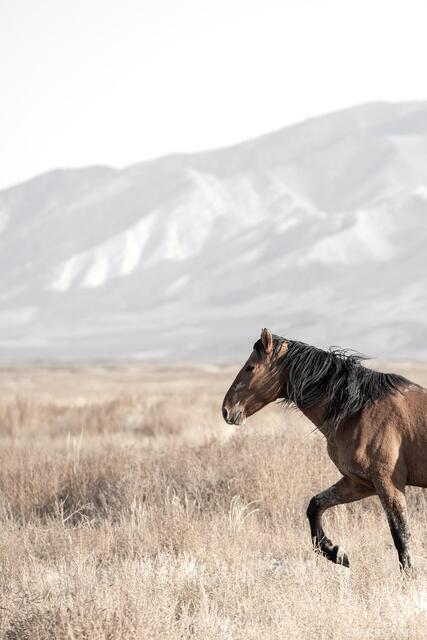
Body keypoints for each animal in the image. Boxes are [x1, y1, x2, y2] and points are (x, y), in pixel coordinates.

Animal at [222, 328, 427, 571]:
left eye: (250, 368)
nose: (227, 410)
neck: (358, 410)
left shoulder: (388, 483)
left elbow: (401, 536)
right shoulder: (360, 483)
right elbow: (315, 506)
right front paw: (336, 553)